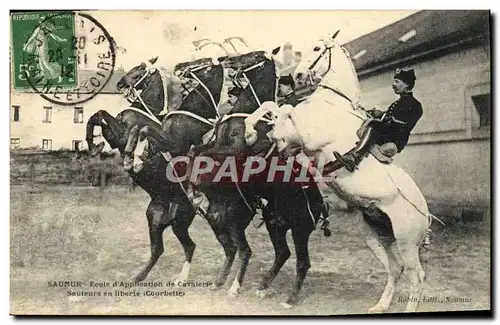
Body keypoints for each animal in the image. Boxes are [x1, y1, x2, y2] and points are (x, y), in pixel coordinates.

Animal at [248, 31, 436, 312]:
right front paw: (251, 130)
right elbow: (271, 107)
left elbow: (285, 111)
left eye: (317, 48)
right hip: (375, 236)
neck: (332, 103)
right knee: (396, 268)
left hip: (406, 241)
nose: (299, 76)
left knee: (417, 276)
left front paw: (265, 133)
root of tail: (426, 213)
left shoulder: (307, 139)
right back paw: (380, 306)